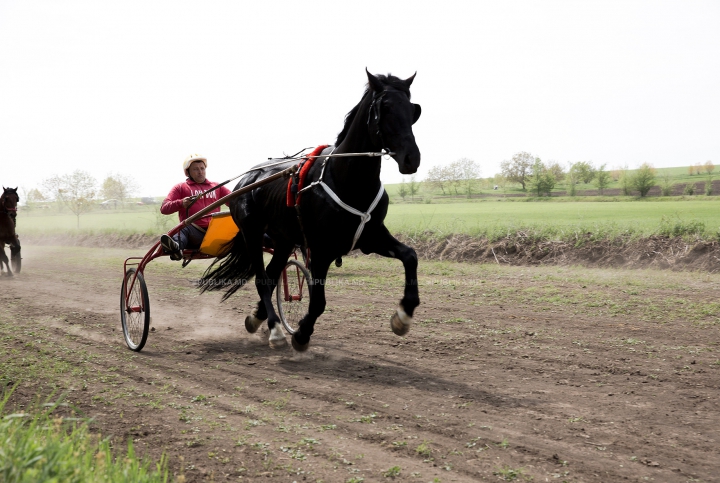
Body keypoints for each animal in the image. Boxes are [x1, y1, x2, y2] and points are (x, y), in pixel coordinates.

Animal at [201, 70, 422, 352]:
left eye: (413, 109)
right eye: (385, 108)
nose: (411, 158)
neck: (347, 179)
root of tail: (248, 178)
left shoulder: (371, 236)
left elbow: (410, 256)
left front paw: (403, 316)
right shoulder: (319, 249)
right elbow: (318, 301)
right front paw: (302, 333)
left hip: (283, 240)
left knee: (271, 276)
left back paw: (257, 318)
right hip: (252, 233)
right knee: (262, 279)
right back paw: (275, 330)